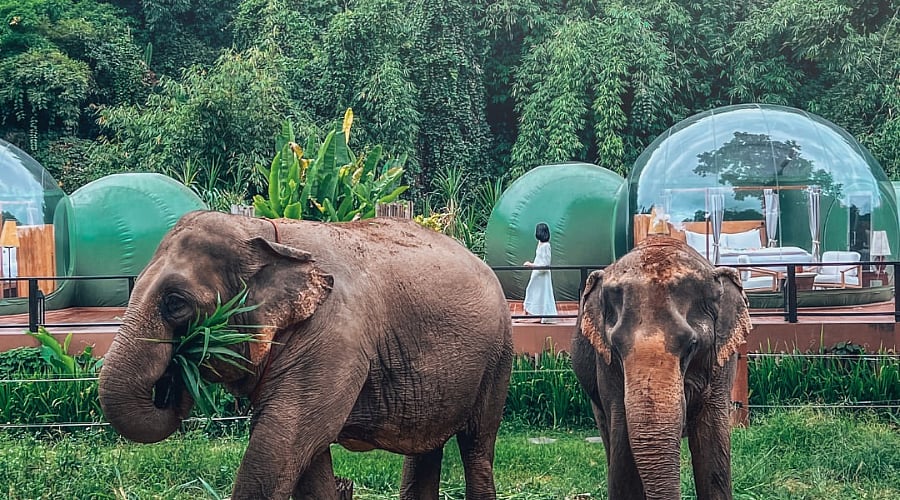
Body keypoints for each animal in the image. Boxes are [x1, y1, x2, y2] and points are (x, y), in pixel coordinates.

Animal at [98, 211, 514, 500]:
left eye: (175, 303)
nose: (175, 376)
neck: (265, 235)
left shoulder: (332, 338)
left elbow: (283, 439)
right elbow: (307, 455)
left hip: (498, 357)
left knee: (476, 446)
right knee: (426, 449)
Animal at [571, 235, 751, 500]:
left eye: (691, 345)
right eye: (615, 347)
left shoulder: (720, 362)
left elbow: (712, 447)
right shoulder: (605, 364)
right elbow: (623, 446)